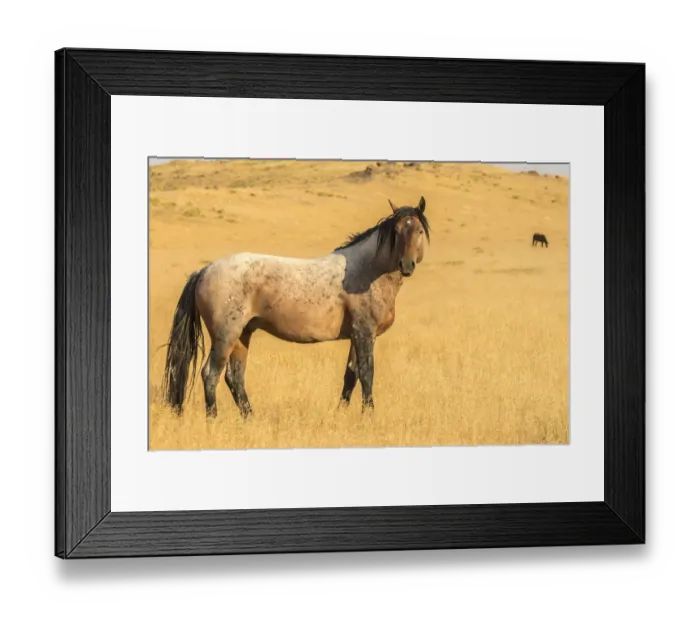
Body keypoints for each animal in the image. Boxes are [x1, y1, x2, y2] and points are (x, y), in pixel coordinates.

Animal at [161, 196, 431, 420]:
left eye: (418, 230)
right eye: (397, 231)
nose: (406, 265)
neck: (367, 272)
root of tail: (204, 270)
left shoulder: (357, 335)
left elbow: (351, 375)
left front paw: (341, 414)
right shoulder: (365, 333)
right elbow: (366, 373)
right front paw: (369, 415)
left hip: (242, 335)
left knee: (234, 377)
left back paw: (251, 418)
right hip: (225, 335)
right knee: (211, 374)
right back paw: (213, 419)